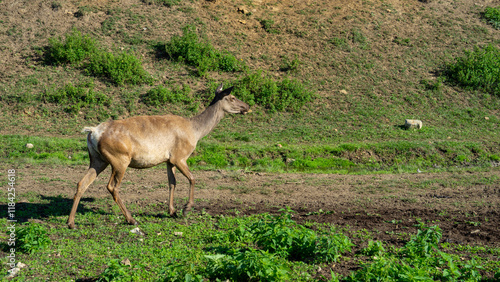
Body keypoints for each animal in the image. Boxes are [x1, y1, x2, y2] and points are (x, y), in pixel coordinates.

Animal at [67, 83, 250, 229]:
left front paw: (172, 211)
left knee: (82, 183)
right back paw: (131, 219)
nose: (247, 106)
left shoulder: (169, 160)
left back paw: (71, 223)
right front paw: (186, 208)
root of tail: (92, 132)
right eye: (232, 97)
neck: (196, 132)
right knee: (112, 187)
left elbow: (172, 183)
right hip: (120, 159)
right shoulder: (179, 155)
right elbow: (192, 178)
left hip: (97, 159)